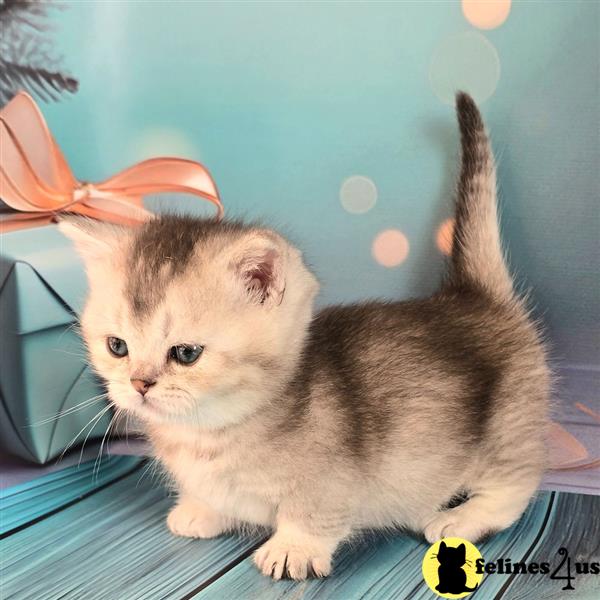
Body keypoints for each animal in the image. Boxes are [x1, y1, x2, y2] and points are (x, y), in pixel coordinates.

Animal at [61, 95, 548, 580]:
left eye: (185, 353)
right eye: (117, 347)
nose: (139, 384)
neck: (209, 434)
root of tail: (471, 295)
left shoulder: (335, 478)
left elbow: (313, 511)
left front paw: (293, 547)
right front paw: (202, 509)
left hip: (508, 424)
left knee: (518, 482)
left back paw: (461, 518)